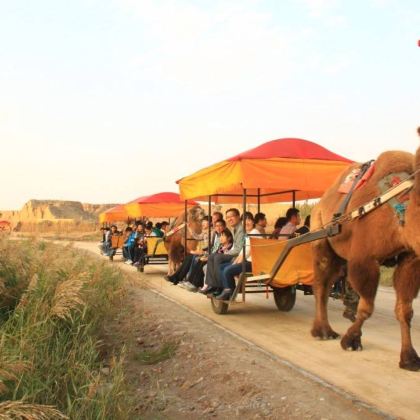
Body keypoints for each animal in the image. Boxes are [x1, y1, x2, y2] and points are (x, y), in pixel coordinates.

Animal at [310, 139, 420, 370]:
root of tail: (321, 202)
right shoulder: (364, 258)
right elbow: (367, 306)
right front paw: (351, 340)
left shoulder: (410, 258)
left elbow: (405, 310)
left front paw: (409, 358)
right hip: (320, 234)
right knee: (320, 284)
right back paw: (322, 331)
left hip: (339, 256)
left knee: (328, 284)